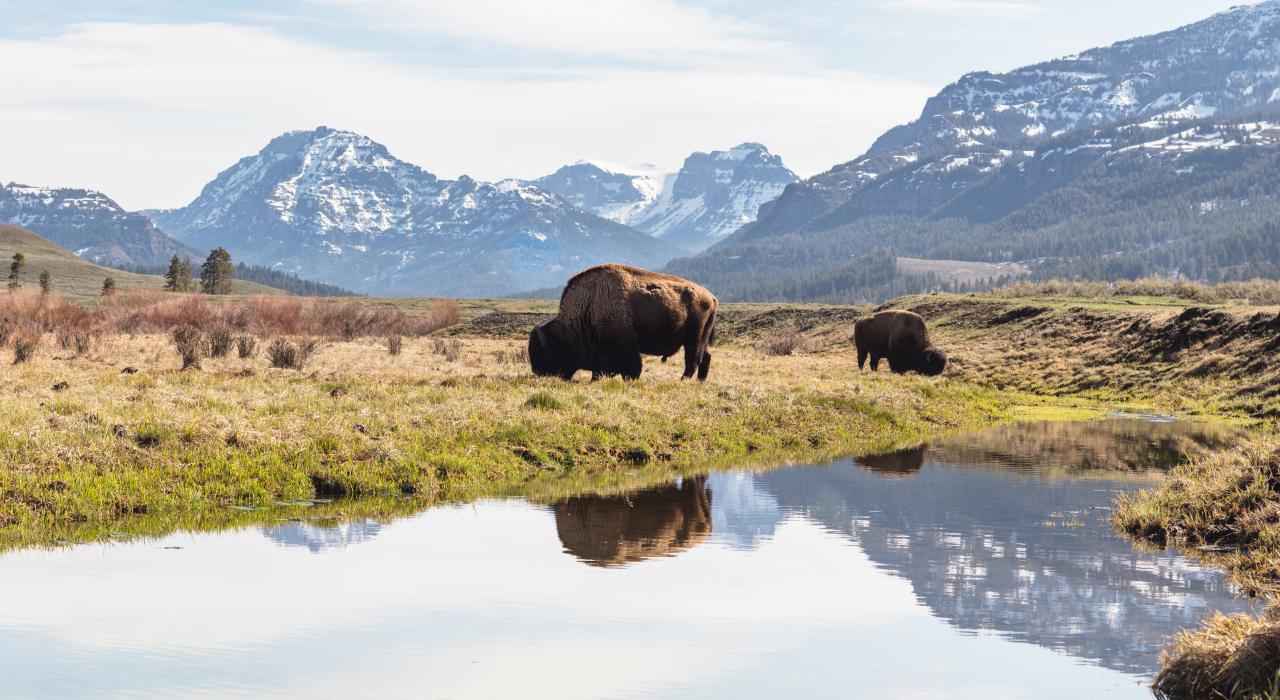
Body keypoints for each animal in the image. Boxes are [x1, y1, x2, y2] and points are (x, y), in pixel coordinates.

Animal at [524, 264, 716, 383]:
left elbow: (632, 366)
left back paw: (682, 381)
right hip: (701, 339)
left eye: (544, 352)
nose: (538, 372)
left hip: (694, 338)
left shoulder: (627, 346)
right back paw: (700, 382)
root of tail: (711, 296)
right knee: (705, 357)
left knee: (693, 360)